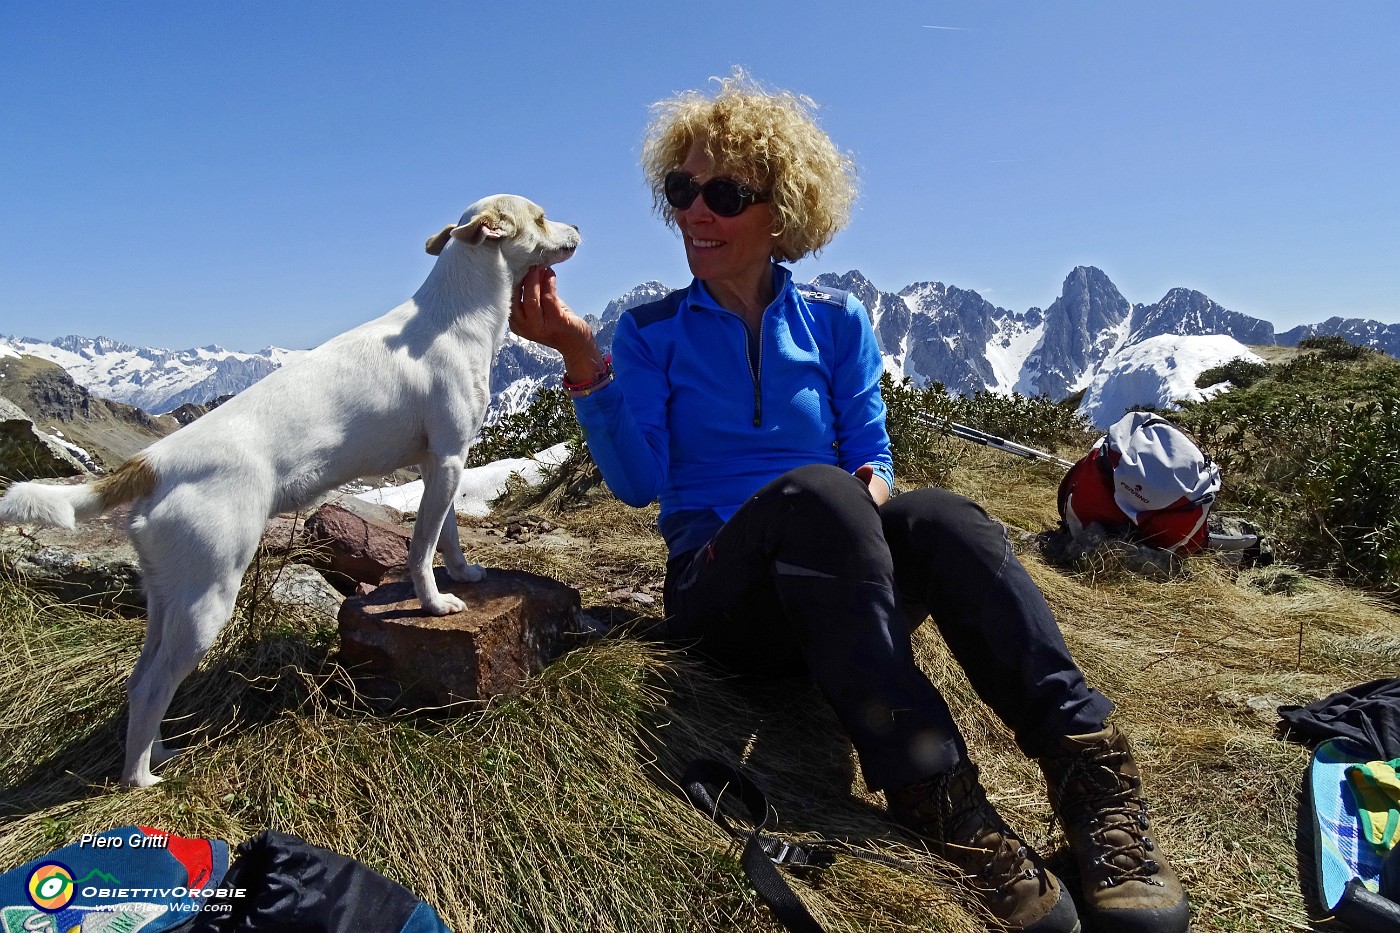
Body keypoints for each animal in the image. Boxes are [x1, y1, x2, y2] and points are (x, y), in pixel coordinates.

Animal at [0, 194, 579, 784]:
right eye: (539, 217)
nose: (578, 226)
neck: (456, 312)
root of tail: (155, 461)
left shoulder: (443, 462)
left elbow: (448, 536)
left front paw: (462, 574)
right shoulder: (446, 459)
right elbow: (421, 550)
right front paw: (435, 603)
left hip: (169, 600)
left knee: (140, 681)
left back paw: (159, 752)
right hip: (207, 603)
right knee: (151, 689)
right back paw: (140, 779)